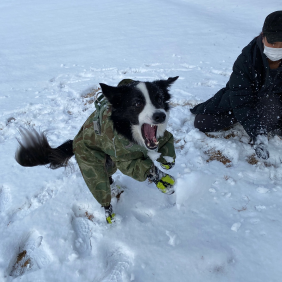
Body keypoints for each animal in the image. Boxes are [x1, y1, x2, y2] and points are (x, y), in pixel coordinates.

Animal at [15, 77, 178, 223]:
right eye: (137, 103)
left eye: (159, 99)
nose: (160, 115)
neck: (131, 135)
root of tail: (74, 142)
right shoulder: (124, 160)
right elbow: (149, 169)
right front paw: (164, 180)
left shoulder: (159, 141)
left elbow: (166, 156)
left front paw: (166, 164)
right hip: (91, 167)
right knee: (102, 190)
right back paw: (110, 215)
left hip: (108, 163)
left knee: (109, 177)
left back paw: (115, 188)